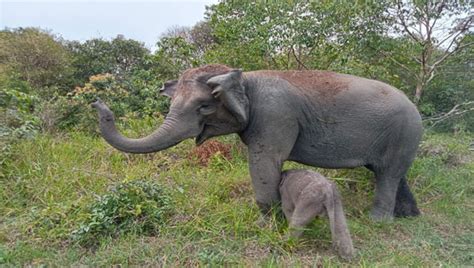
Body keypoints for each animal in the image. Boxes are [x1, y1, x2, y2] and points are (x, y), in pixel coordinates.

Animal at [92, 64, 422, 220]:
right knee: (393, 173)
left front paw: (268, 223)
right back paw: (408, 216)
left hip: (402, 132)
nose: (97, 101)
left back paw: (378, 221)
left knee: (388, 174)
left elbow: (265, 161)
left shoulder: (275, 116)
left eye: (204, 107)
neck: (242, 76)